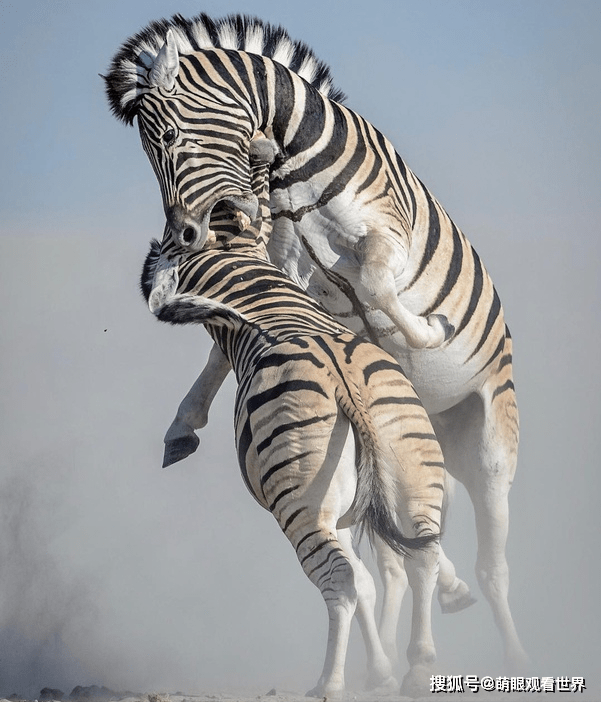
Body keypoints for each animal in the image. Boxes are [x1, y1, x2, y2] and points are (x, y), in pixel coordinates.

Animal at [143, 154, 446, 700]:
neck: (238, 261)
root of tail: (344, 378)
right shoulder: (345, 515)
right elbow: (371, 585)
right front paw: (381, 672)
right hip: (410, 468)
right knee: (422, 557)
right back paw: (417, 667)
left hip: (302, 504)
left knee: (339, 581)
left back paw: (328, 682)